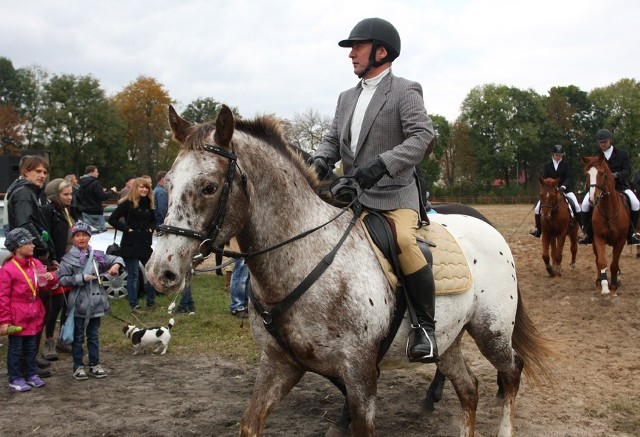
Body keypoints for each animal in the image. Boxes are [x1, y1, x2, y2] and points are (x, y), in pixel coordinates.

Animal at [148, 105, 552, 436]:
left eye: (208, 187)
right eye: (168, 185)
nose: (159, 272)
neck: (304, 257)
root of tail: (489, 228)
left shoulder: (359, 373)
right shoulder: (279, 365)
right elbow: (250, 423)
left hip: (491, 330)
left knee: (511, 372)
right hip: (449, 339)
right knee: (469, 389)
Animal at [584, 154, 628, 296]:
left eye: (602, 174)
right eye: (587, 174)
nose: (593, 199)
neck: (609, 210)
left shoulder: (620, 240)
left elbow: (614, 264)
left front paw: (613, 286)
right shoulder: (598, 238)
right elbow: (601, 261)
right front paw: (604, 286)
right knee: (598, 261)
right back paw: (599, 281)